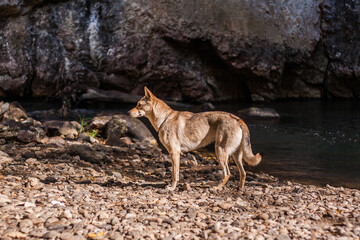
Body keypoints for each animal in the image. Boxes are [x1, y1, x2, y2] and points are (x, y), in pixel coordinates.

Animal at [129, 87, 262, 190]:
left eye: (139, 105)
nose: (128, 112)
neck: (164, 119)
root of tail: (238, 119)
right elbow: (174, 173)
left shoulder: (175, 153)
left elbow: (175, 174)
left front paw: (172, 188)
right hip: (236, 155)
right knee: (243, 173)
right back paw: (239, 188)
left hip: (220, 151)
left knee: (227, 174)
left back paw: (217, 188)